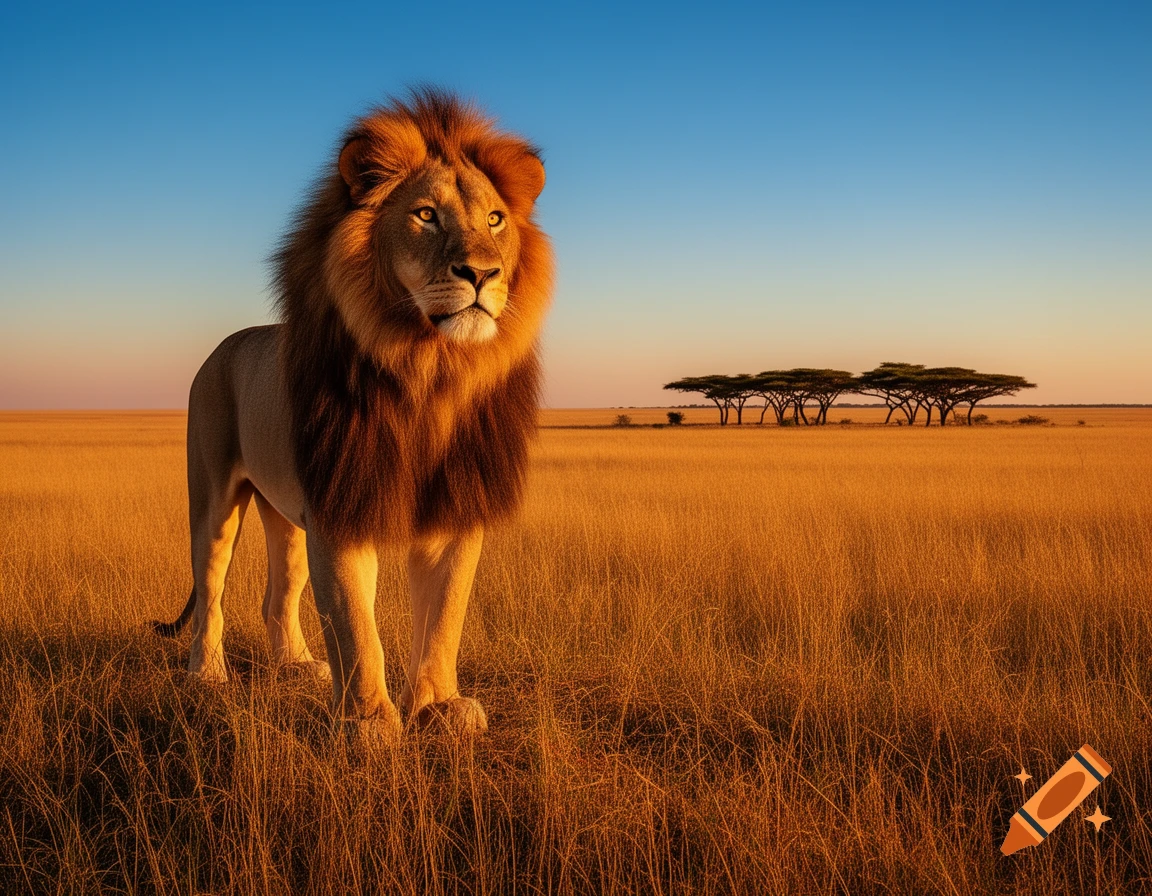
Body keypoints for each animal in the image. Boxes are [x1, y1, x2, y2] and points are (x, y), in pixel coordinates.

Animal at [154, 90, 553, 742]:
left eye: (495, 220)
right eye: (425, 216)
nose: (482, 273)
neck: (429, 373)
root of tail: (227, 343)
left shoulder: (453, 511)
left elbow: (443, 620)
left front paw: (439, 707)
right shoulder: (339, 508)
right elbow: (355, 626)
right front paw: (368, 724)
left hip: (286, 513)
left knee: (278, 595)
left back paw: (295, 666)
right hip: (213, 493)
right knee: (210, 588)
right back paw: (206, 675)